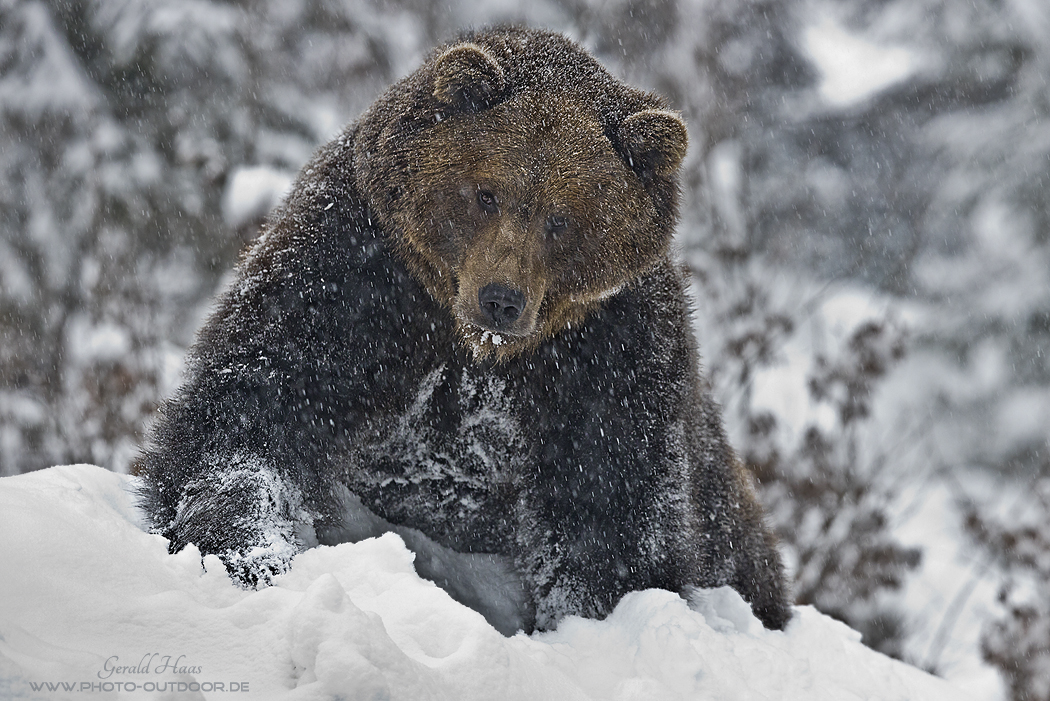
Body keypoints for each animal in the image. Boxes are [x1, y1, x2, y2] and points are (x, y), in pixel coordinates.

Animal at [141, 27, 793, 633]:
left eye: (563, 218)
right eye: (486, 193)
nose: (501, 299)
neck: (478, 349)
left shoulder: (607, 351)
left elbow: (608, 501)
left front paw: (589, 620)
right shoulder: (360, 275)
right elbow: (264, 391)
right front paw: (243, 548)